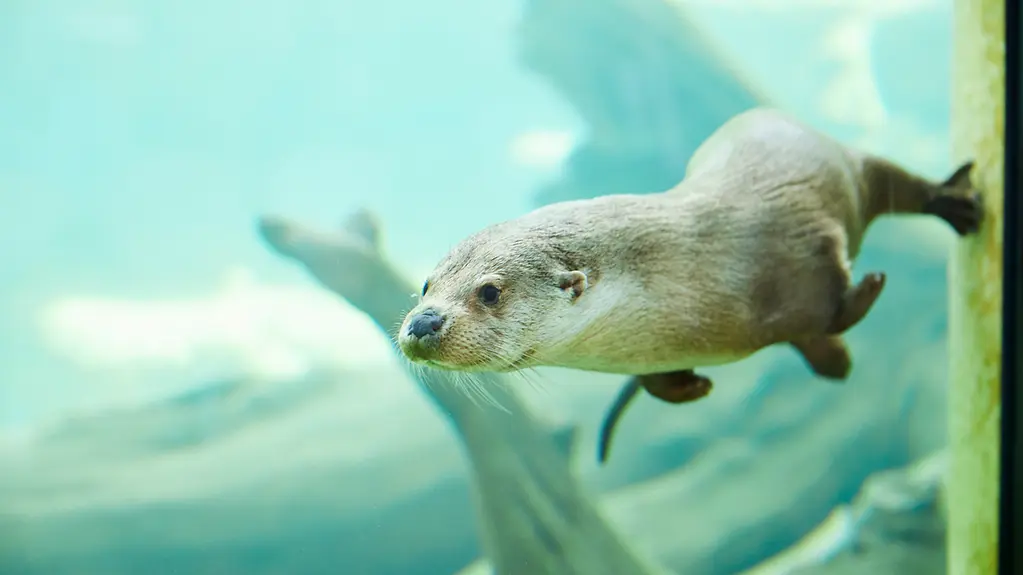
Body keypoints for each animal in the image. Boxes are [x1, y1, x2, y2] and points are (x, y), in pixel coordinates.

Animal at [395, 107, 983, 462]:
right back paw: (834, 364)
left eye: (489, 291)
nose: (423, 321)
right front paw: (689, 387)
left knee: (898, 185)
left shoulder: (797, 247)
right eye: (425, 285)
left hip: (853, 163)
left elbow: (830, 299)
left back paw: (956, 202)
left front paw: (871, 285)